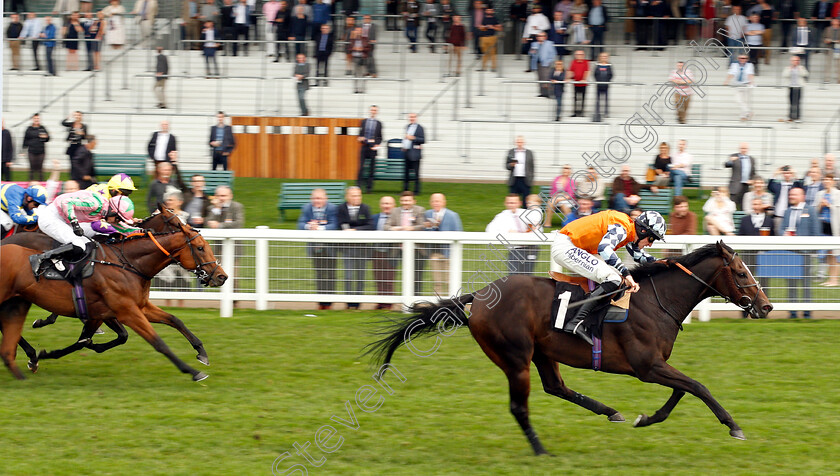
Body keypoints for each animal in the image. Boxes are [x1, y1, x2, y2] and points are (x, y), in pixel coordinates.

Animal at [368, 242, 776, 454]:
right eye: (742, 272)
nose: (766, 306)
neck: (655, 300)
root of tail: (479, 297)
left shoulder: (656, 364)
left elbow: (682, 390)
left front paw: (646, 418)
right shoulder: (647, 366)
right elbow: (698, 387)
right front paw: (734, 426)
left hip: (542, 353)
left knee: (556, 387)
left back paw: (610, 411)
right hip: (515, 357)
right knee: (520, 406)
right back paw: (540, 450)